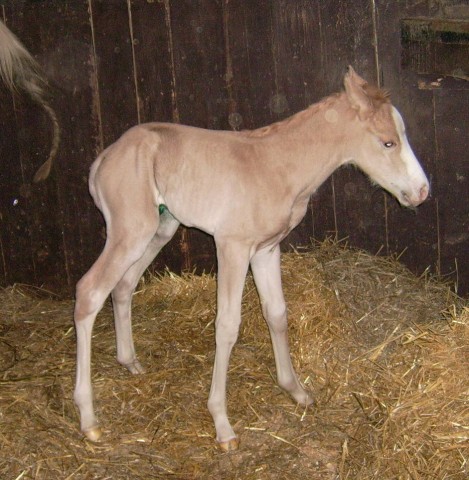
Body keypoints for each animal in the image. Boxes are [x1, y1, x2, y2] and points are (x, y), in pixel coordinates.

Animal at [73, 67, 428, 450]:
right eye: (388, 142)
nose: (422, 192)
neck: (278, 167)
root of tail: (104, 157)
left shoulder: (266, 250)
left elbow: (277, 314)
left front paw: (295, 390)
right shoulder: (232, 246)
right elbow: (227, 325)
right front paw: (222, 423)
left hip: (159, 229)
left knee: (123, 285)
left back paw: (129, 362)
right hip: (130, 230)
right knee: (89, 291)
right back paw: (89, 418)